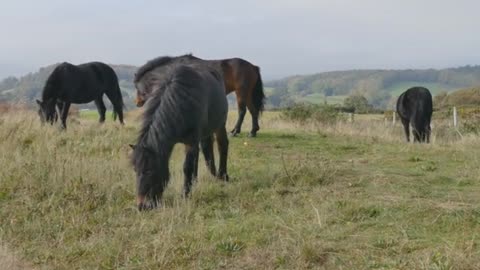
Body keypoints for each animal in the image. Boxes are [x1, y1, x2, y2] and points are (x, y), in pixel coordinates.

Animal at [130, 60, 230, 211]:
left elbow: (186, 167)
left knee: (222, 144)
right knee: (205, 149)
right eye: (135, 170)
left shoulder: (191, 141)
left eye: (150, 171)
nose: (142, 206)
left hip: (220, 124)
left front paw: (185, 195)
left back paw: (222, 175)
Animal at [134, 53, 266, 137]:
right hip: (248, 94)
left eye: (137, 86)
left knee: (242, 111)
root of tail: (253, 66)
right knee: (253, 111)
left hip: (241, 92)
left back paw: (235, 132)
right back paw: (253, 132)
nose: (137, 103)